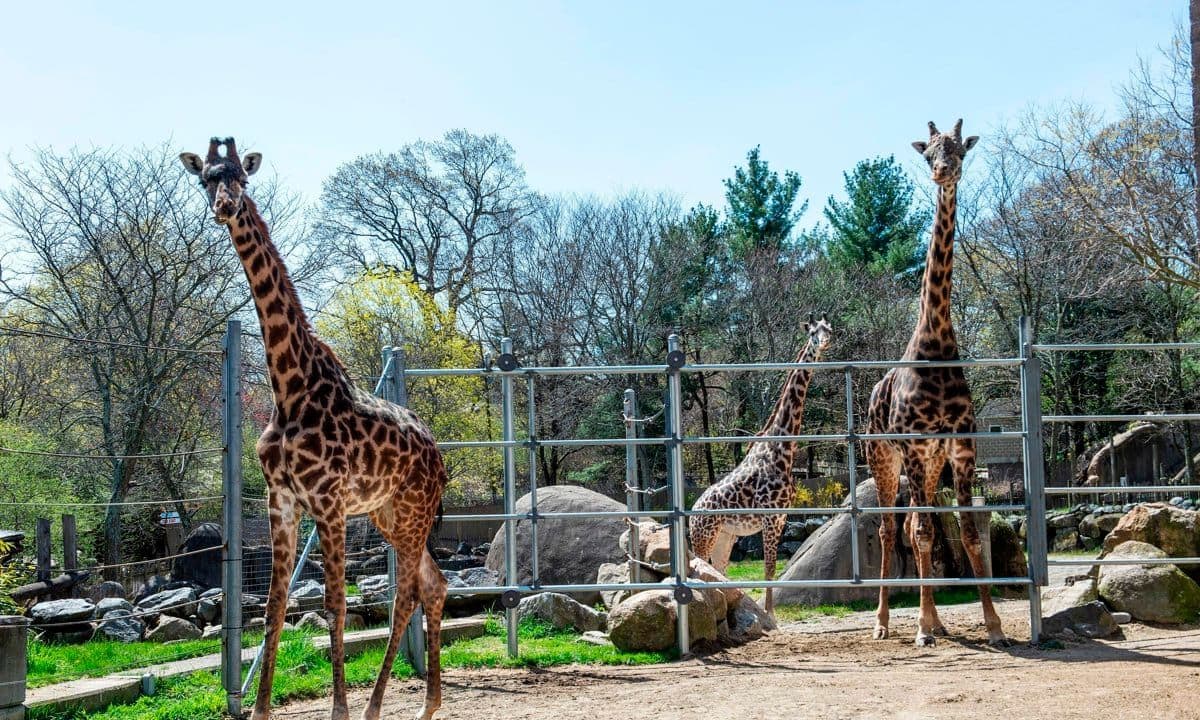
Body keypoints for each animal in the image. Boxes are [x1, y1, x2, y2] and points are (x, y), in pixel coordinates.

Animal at [182, 136, 451, 720]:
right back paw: (427, 705)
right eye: (206, 178)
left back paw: (376, 707)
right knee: (434, 584)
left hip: (411, 514)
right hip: (389, 515)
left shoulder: (328, 502)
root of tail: (441, 458)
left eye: (241, 176)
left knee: (407, 594)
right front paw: (260, 709)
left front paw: (339, 711)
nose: (225, 206)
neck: (289, 386)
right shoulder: (281, 500)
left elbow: (335, 605)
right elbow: (274, 607)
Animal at [691, 314, 830, 612]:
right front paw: (770, 614)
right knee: (698, 566)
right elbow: (768, 568)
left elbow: (771, 569)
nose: (824, 342)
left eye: (829, 330)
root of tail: (692, 512)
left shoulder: (781, 517)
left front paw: (767, 613)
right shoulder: (769, 517)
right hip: (704, 535)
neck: (782, 450)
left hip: (725, 536)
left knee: (719, 569)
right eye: (812, 332)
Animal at [864, 121, 1012, 648]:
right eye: (927, 153)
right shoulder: (912, 444)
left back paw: (937, 621)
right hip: (883, 459)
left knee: (912, 524)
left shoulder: (960, 444)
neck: (938, 341)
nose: (942, 172)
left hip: (928, 465)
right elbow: (926, 533)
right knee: (892, 530)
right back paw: (887, 622)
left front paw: (994, 626)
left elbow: (966, 532)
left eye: (957, 151)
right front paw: (921, 630)